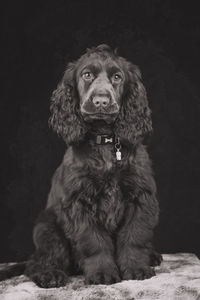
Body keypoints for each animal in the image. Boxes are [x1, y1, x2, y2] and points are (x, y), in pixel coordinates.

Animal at [0, 44, 162, 286]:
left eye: (117, 77)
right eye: (87, 75)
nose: (101, 101)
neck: (104, 143)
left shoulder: (140, 196)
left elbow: (134, 236)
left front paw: (136, 268)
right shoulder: (79, 202)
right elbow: (93, 241)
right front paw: (103, 273)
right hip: (47, 226)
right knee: (38, 262)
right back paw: (50, 275)